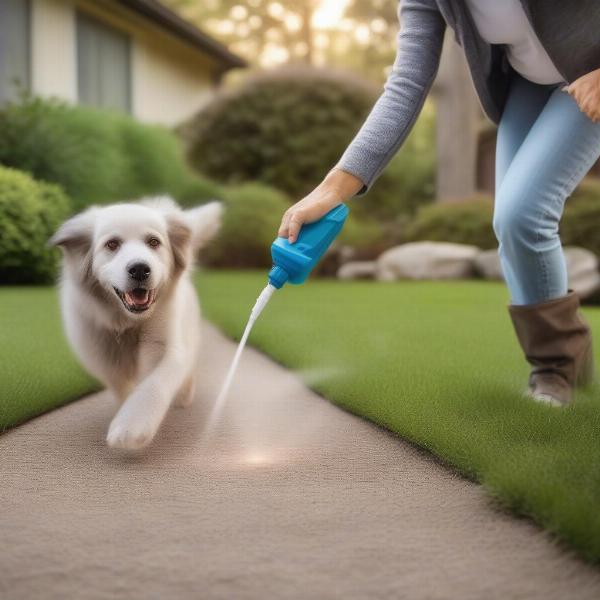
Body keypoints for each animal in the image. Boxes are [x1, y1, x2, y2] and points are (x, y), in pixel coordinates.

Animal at [50, 198, 221, 450]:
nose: (140, 269)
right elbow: (122, 388)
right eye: (112, 244)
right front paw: (125, 412)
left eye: (154, 242)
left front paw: (131, 426)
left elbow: (153, 385)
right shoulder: (104, 359)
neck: (127, 324)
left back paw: (184, 395)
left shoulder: (163, 347)